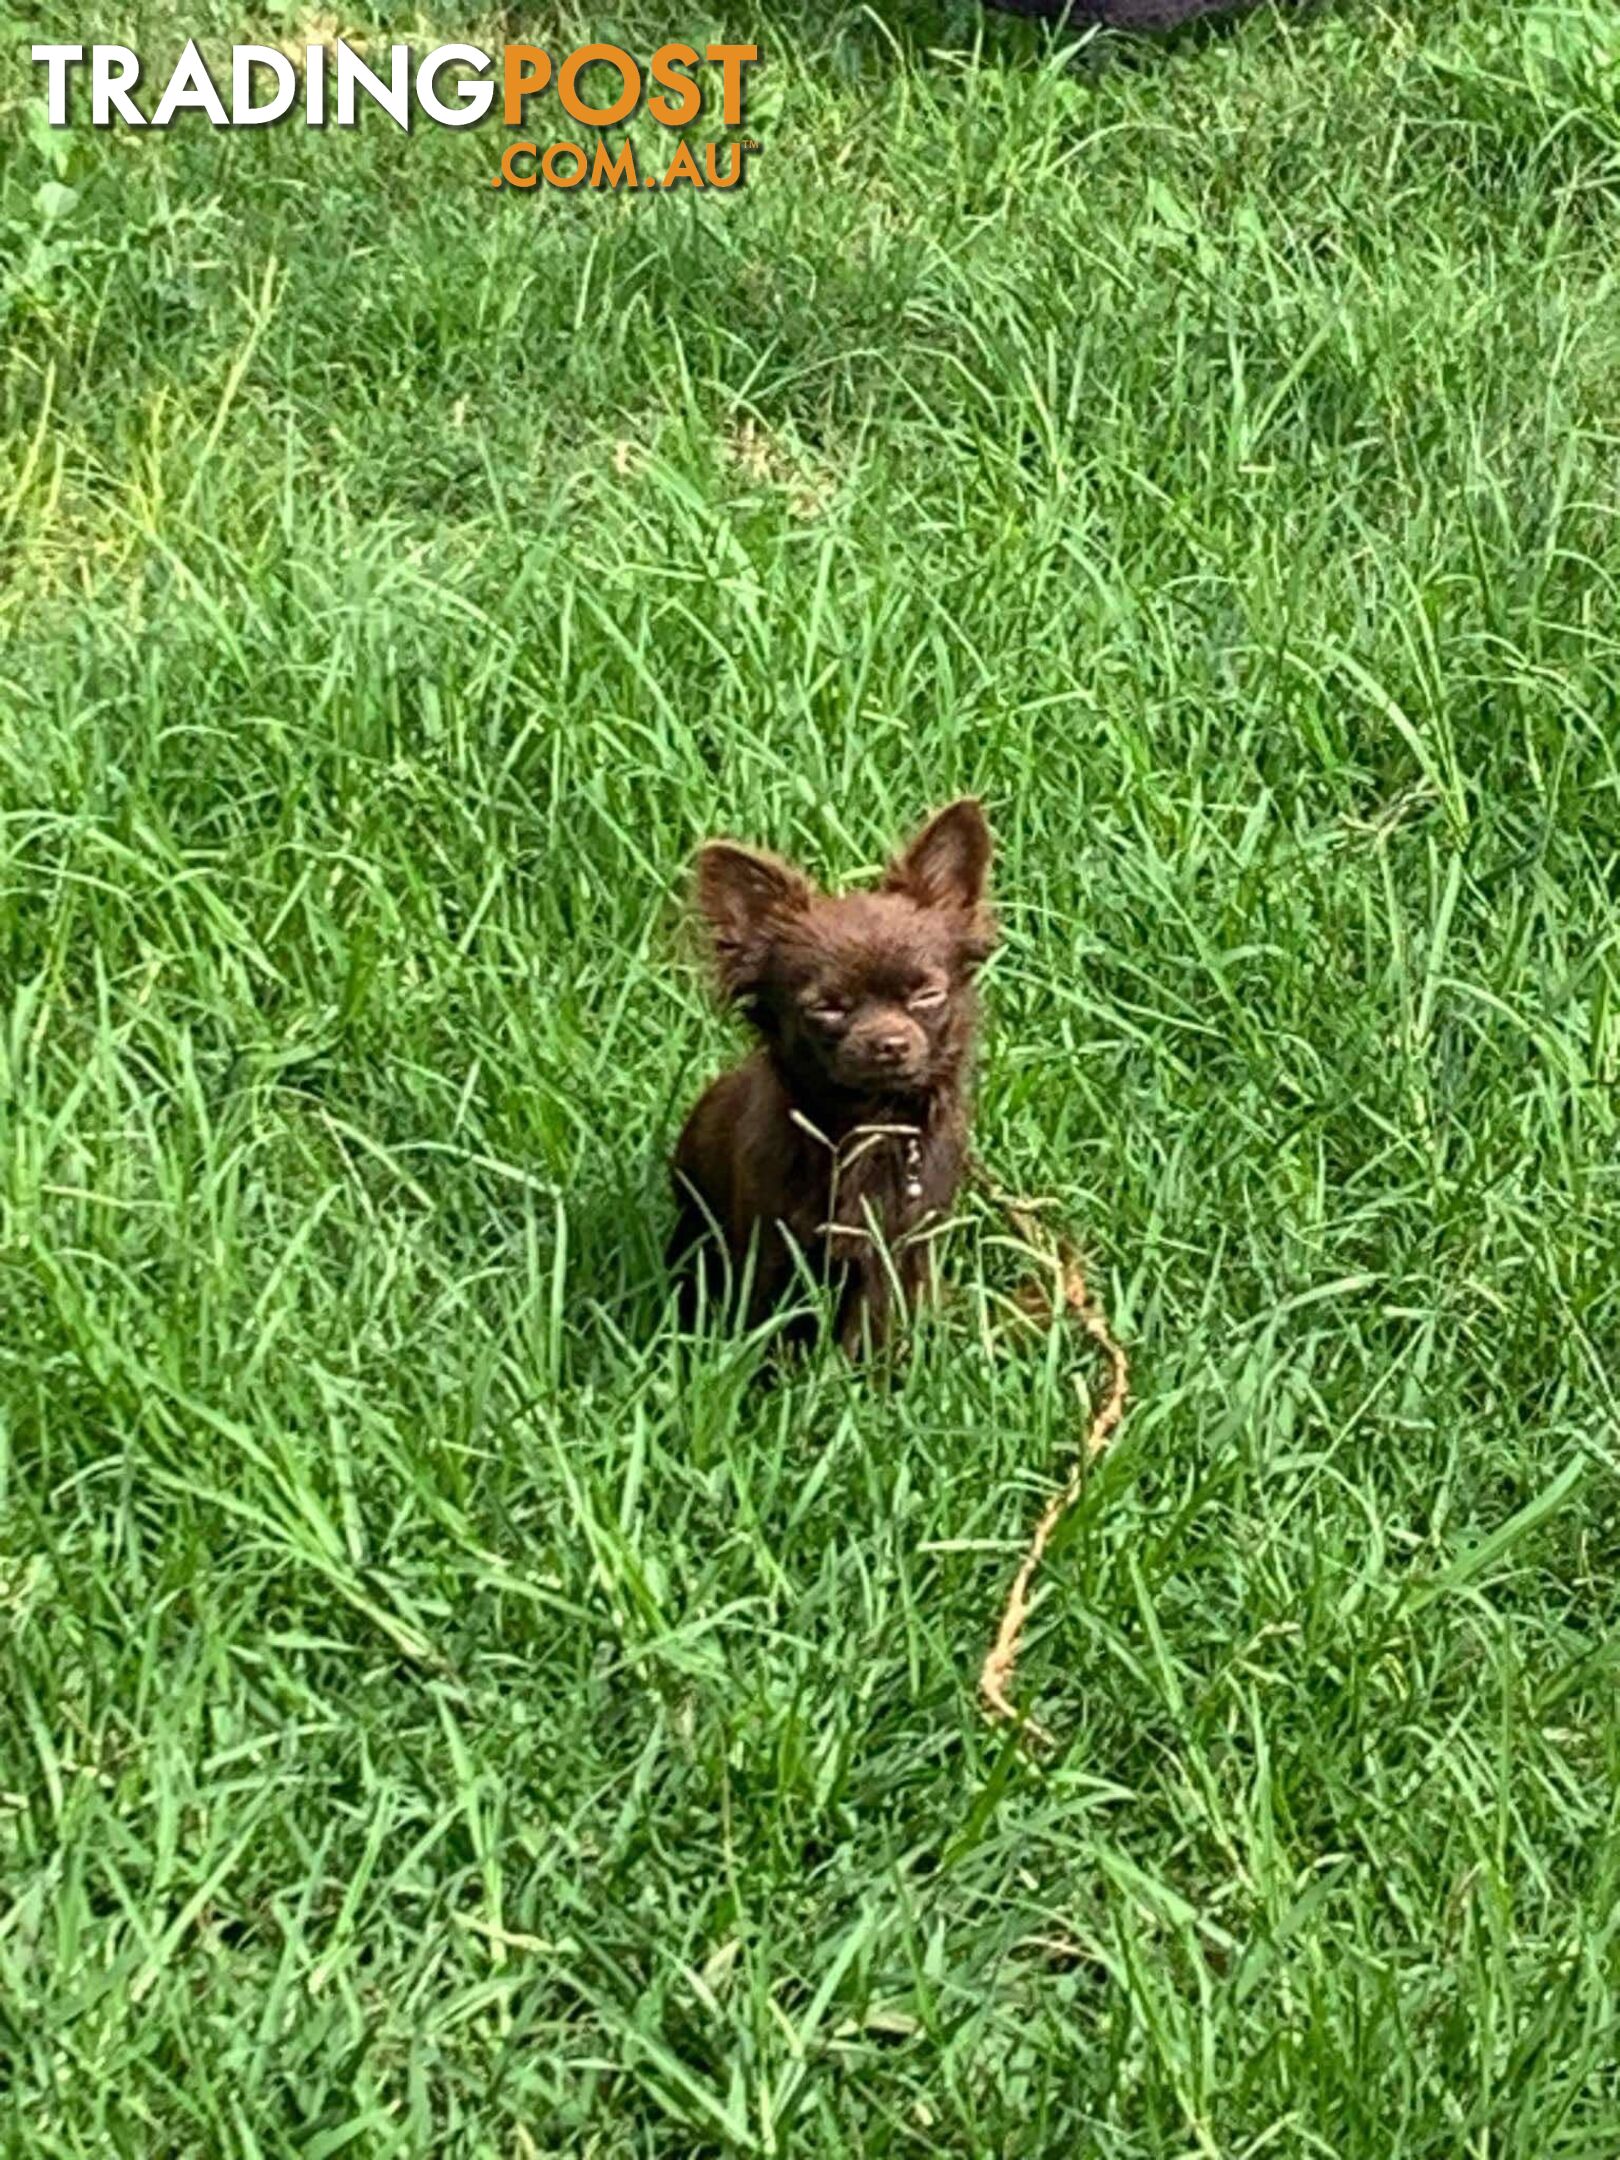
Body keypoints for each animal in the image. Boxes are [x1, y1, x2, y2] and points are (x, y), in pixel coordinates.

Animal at [669, 803, 997, 1356]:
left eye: (927, 996)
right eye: (827, 1008)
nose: (890, 1042)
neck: (867, 1125)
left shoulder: (892, 1253)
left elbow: (873, 1329)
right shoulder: (772, 1248)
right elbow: (766, 1327)